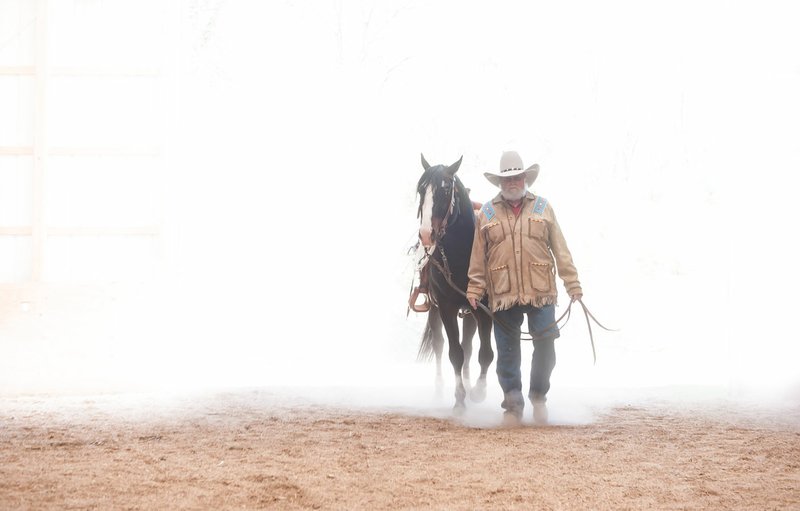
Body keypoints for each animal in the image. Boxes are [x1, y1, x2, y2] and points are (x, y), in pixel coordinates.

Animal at [416, 154, 490, 410]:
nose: (426, 234)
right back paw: (439, 391)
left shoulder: (483, 310)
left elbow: (484, 353)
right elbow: (454, 353)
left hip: (469, 313)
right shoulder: (446, 307)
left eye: (445, 190)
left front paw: (477, 392)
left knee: (468, 345)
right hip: (434, 309)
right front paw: (459, 398)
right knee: (439, 344)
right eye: (421, 190)